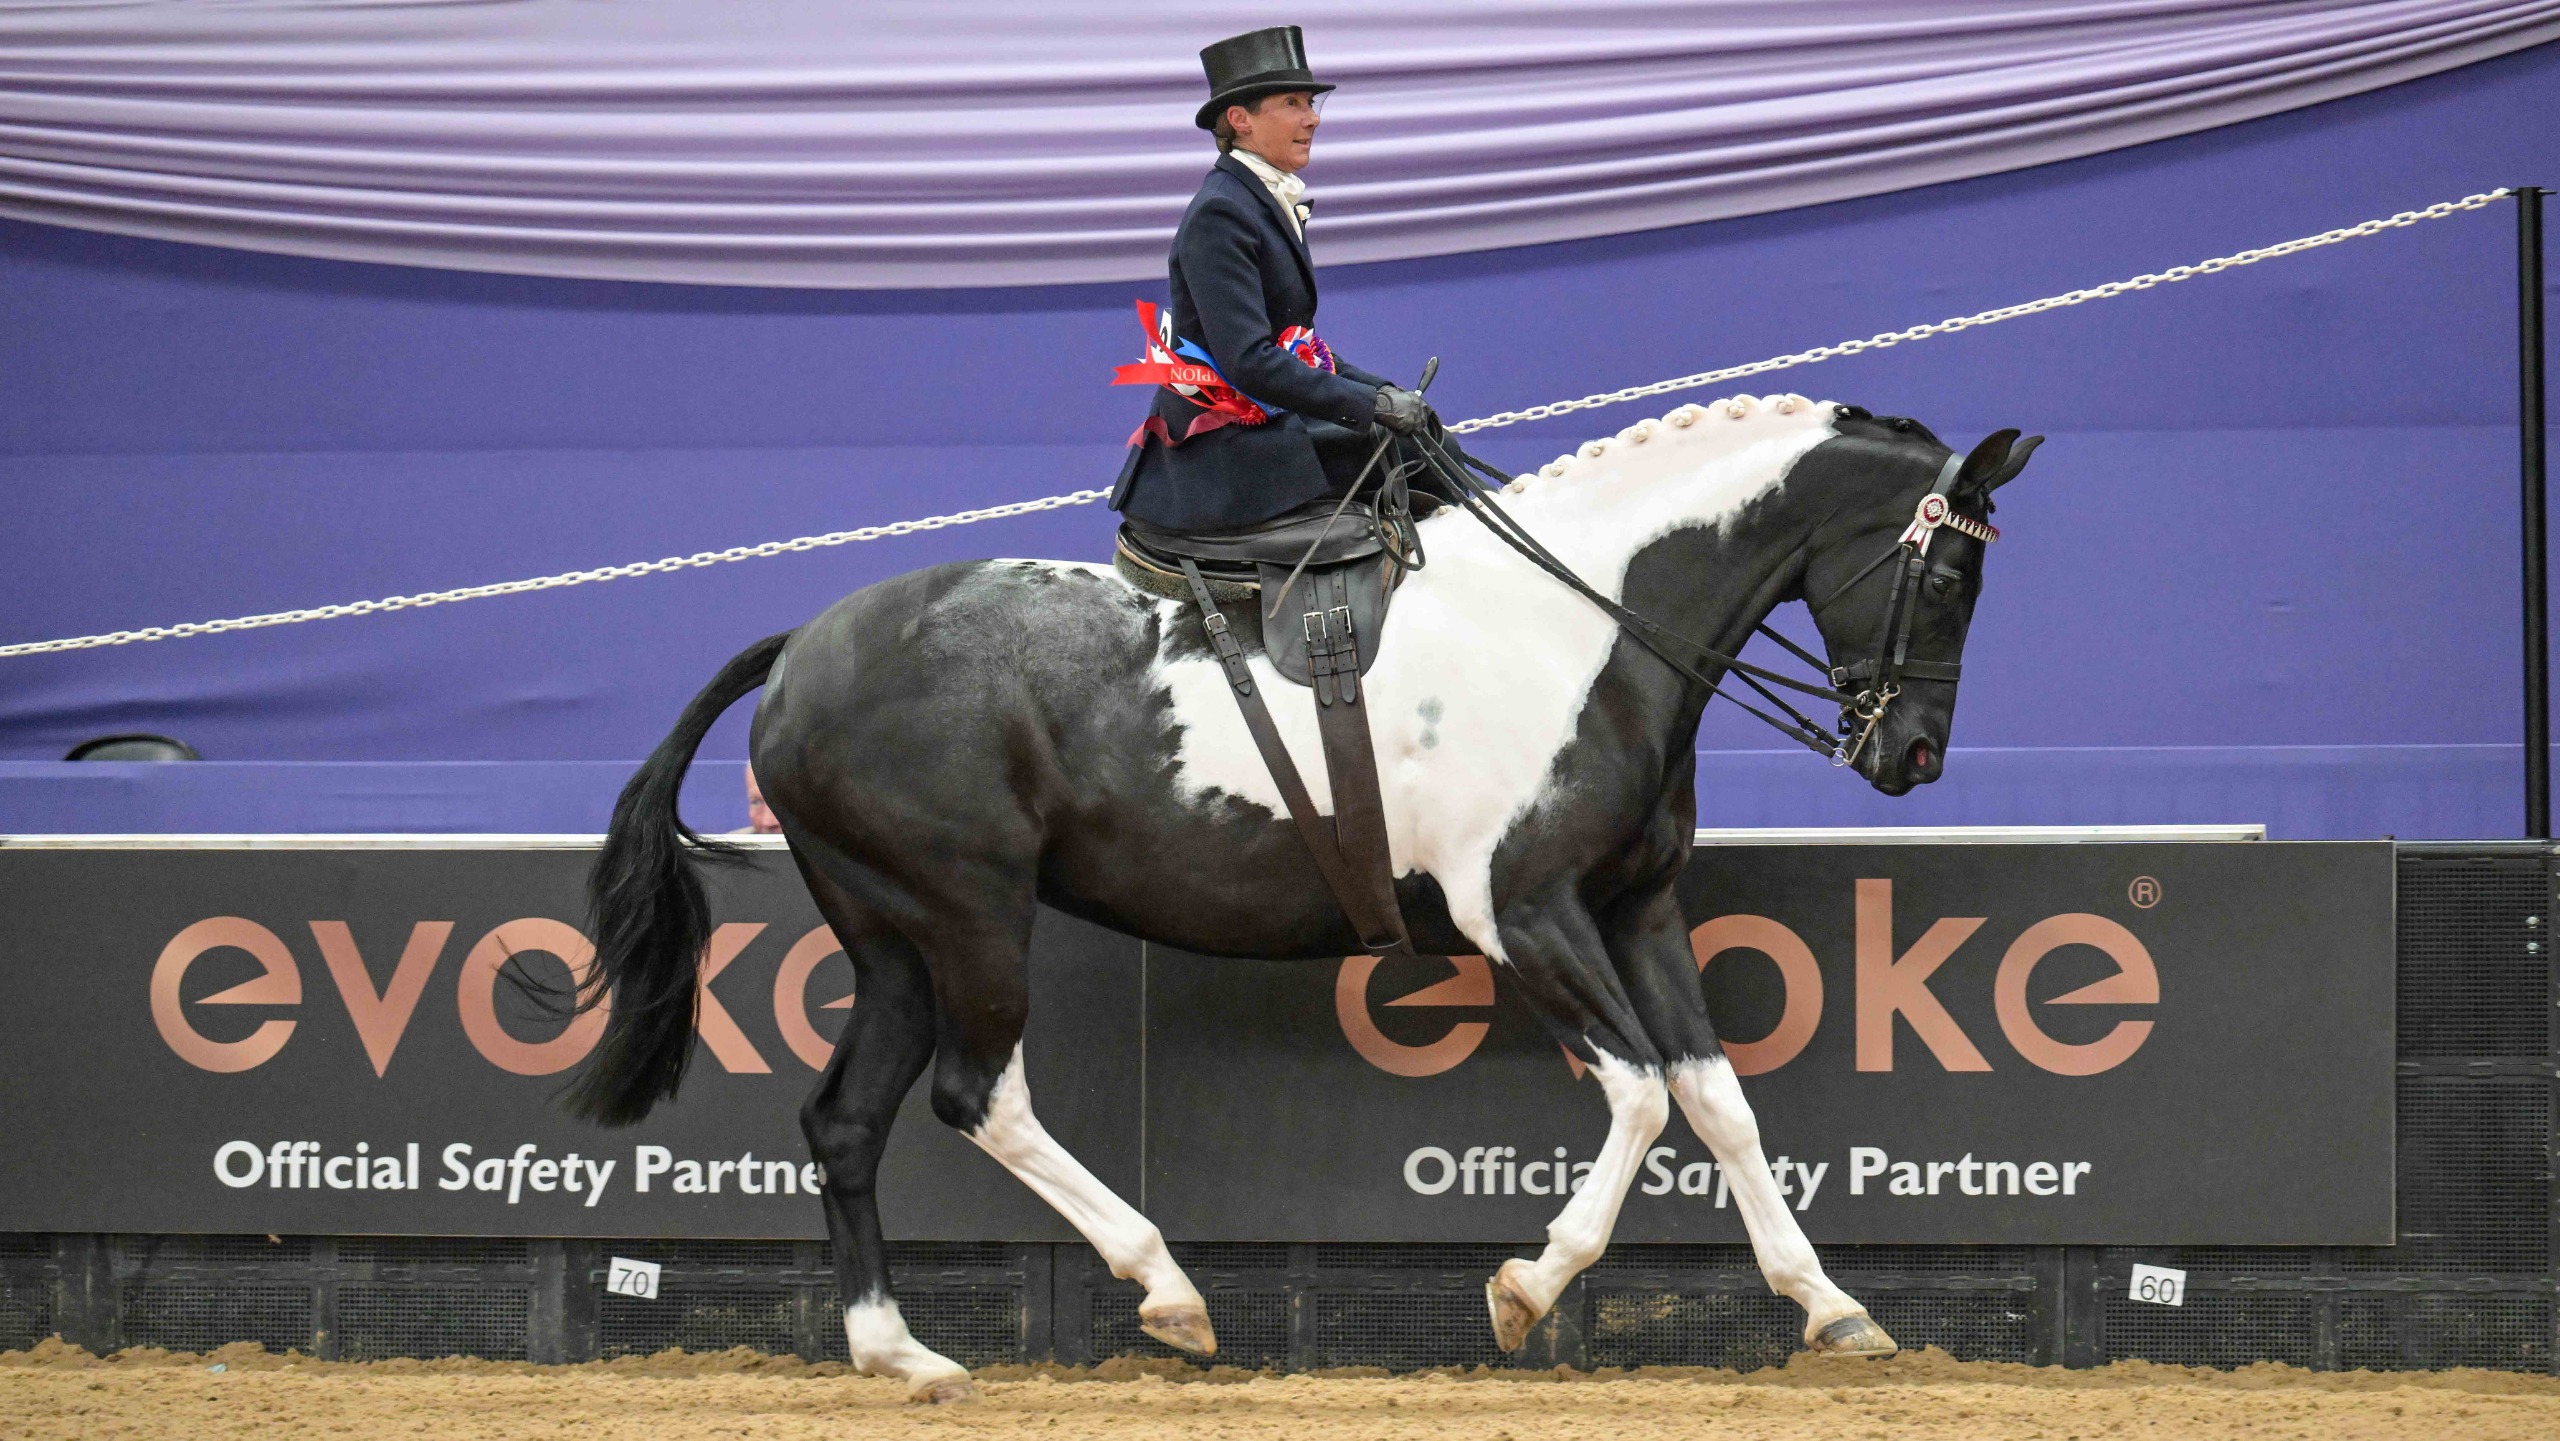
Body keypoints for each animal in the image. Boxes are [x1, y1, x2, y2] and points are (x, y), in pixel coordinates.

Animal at [566, 392, 2040, 1401]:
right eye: (1951, 573)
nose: (1913, 756)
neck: (1584, 628)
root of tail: (802, 645)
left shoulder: (1639, 910)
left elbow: (1718, 1099)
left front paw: (1832, 1307)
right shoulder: (1524, 914)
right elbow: (1637, 1095)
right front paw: (1527, 1286)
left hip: (888, 934)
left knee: (847, 1118)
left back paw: (901, 1353)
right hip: (968, 912)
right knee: (977, 1095)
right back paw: (1164, 1289)